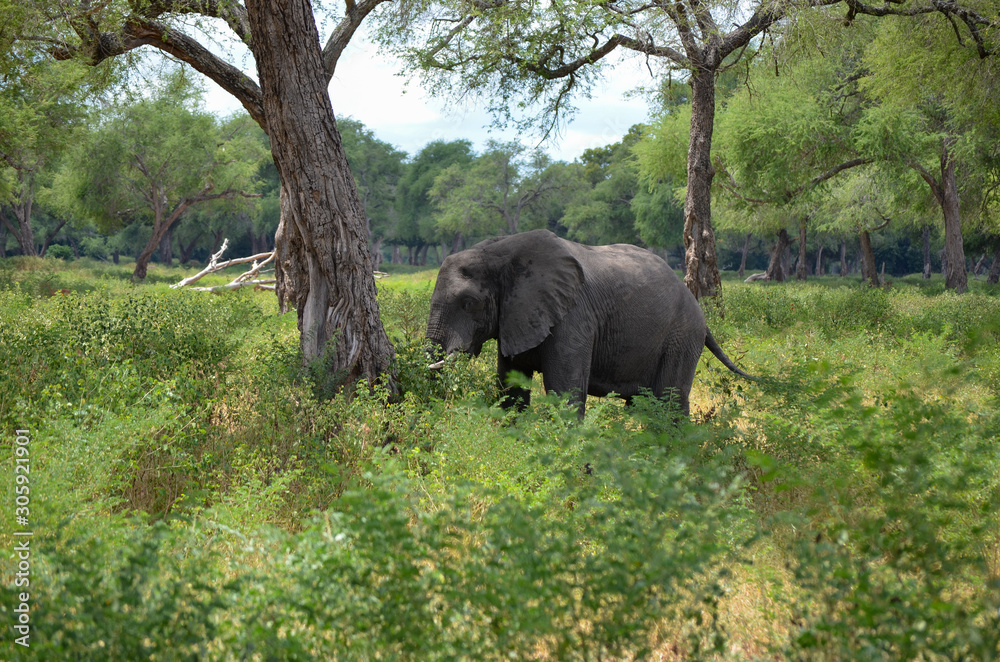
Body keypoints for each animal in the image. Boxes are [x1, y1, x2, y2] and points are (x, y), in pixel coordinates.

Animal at [425, 229, 753, 417]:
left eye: (469, 303)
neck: (498, 252)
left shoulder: (573, 317)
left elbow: (564, 393)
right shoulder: (518, 316)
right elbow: (512, 390)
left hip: (682, 336)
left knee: (668, 402)